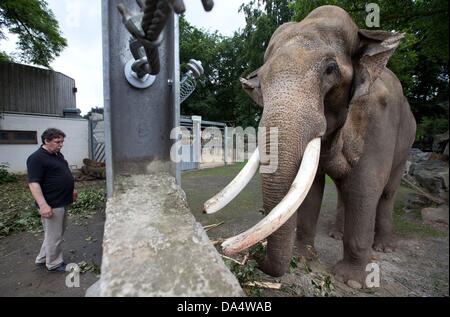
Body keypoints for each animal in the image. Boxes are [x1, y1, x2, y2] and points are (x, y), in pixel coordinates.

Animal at [202, 4, 416, 288]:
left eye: (330, 69)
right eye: (261, 81)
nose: (253, 257)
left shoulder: (377, 123)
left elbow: (365, 187)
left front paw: (351, 281)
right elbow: (311, 189)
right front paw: (302, 259)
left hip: (406, 143)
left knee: (387, 192)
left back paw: (383, 247)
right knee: (343, 192)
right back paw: (336, 234)